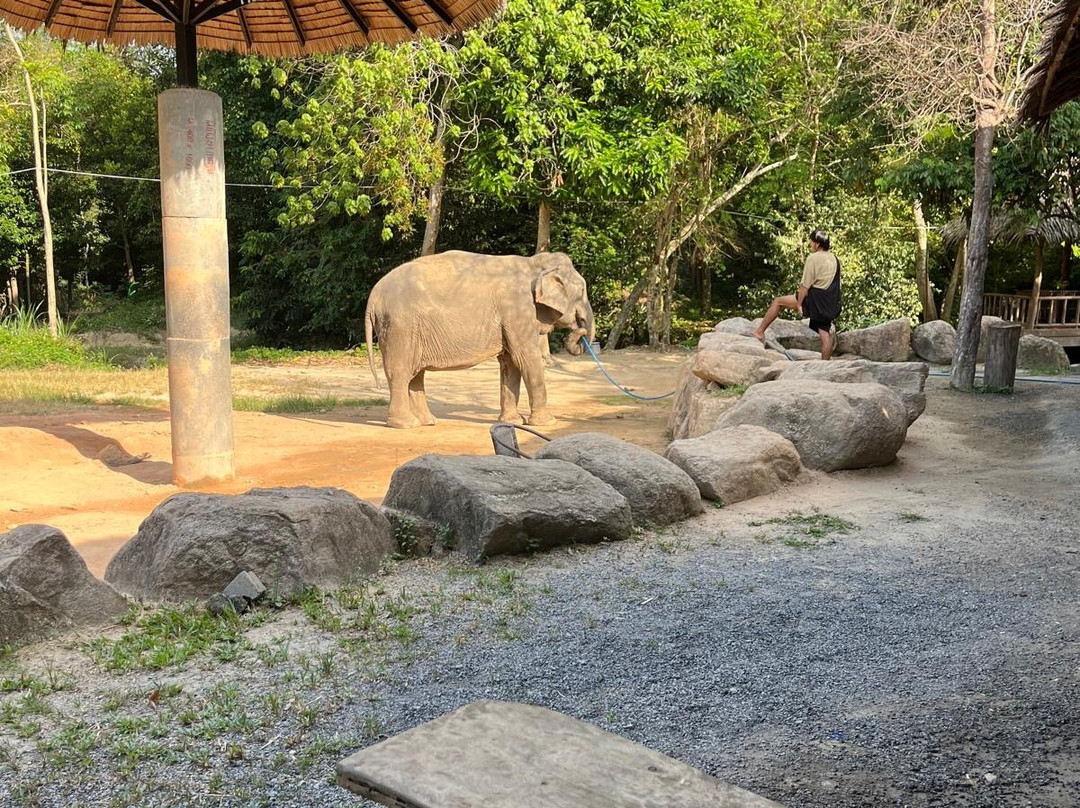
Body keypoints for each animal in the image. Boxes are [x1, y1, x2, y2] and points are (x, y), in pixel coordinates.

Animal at [364, 250, 595, 429]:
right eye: (583, 290)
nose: (579, 332)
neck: (533, 263)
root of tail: (373, 296)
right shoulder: (517, 310)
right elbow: (527, 359)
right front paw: (547, 423)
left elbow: (510, 363)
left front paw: (512, 421)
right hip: (400, 328)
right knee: (400, 373)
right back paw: (406, 424)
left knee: (415, 375)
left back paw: (428, 422)